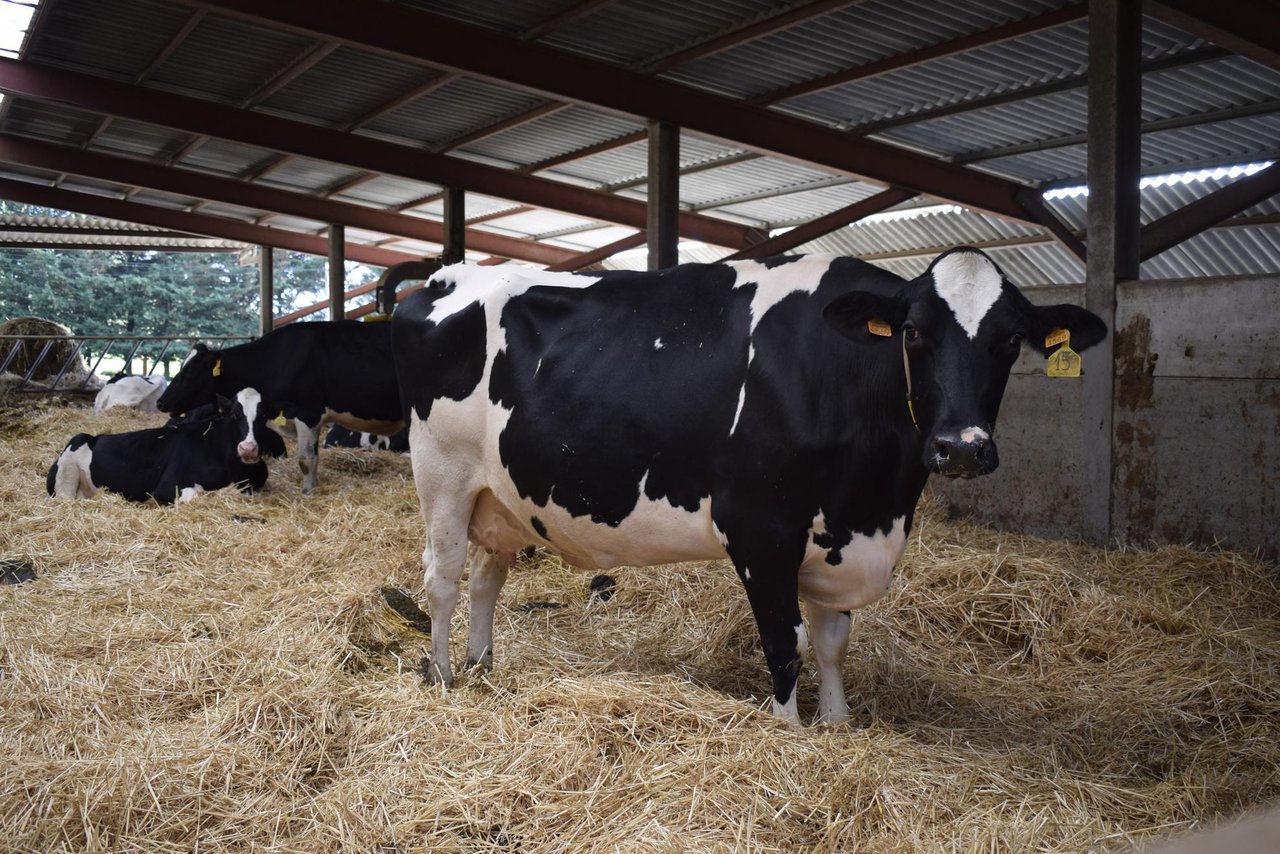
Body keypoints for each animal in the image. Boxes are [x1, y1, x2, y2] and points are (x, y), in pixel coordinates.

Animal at [48, 387, 285, 504]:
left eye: (264, 416)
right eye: (235, 415)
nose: (248, 449)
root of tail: (94, 437)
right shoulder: (166, 486)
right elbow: (197, 494)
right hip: (68, 470)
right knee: (67, 501)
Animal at [155, 321, 402, 493]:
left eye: (191, 371)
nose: (160, 402)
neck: (279, 359)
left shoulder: (308, 413)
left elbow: (306, 460)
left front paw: (307, 493)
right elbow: (314, 458)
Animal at [390, 249, 1106, 726]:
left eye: (1011, 341)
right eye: (913, 333)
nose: (961, 447)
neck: (877, 502)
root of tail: (449, 274)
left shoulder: (836, 533)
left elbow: (832, 641)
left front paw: (838, 725)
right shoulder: (762, 529)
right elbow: (785, 642)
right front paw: (789, 732)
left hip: (501, 497)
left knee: (487, 578)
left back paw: (483, 666)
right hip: (443, 477)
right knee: (443, 579)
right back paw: (444, 676)